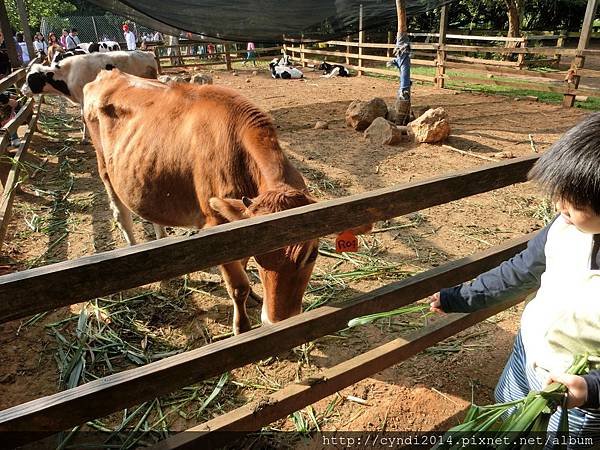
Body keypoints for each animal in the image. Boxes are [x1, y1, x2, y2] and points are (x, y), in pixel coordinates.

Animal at [21, 49, 157, 142]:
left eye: (31, 79)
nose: (22, 90)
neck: (67, 75)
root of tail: (148, 54)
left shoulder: (83, 98)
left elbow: (84, 118)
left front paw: (85, 138)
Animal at [82, 67, 322, 334]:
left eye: (313, 255)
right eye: (261, 256)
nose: (279, 323)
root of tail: (109, 73)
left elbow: (242, 265)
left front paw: (253, 298)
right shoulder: (215, 223)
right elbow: (238, 286)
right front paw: (242, 327)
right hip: (105, 170)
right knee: (122, 215)